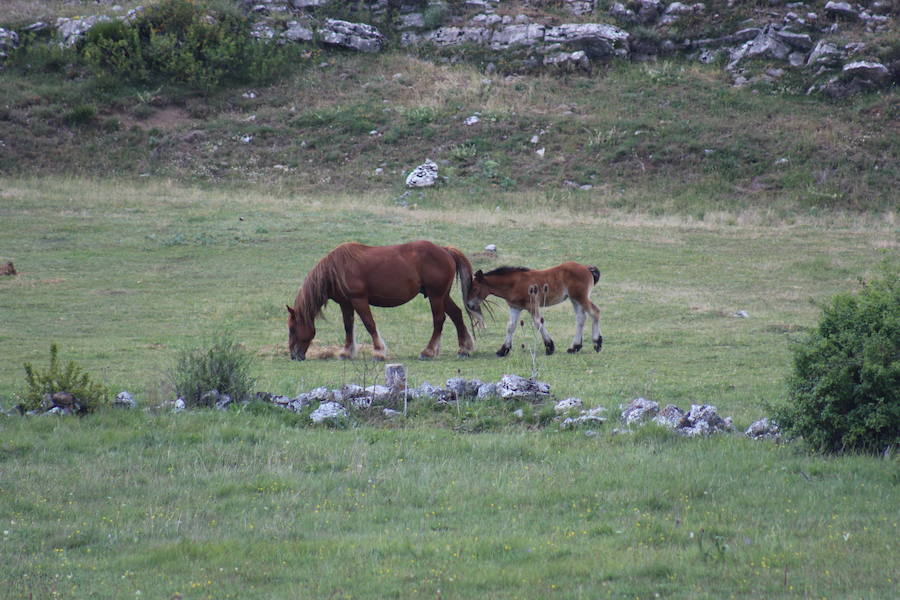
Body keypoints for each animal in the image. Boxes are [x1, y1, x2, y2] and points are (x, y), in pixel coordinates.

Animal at [288, 240, 486, 360]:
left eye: (292, 328)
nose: (294, 355)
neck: (337, 269)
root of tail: (445, 250)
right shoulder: (346, 303)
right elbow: (348, 327)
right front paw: (346, 352)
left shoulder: (359, 300)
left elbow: (369, 324)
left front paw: (378, 352)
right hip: (442, 295)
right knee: (456, 315)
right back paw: (464, 348)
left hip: (436, 295)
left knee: (439, 319)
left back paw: (428, 351)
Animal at [464, 262, 604, 356]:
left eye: (475, 289)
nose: (469, 305)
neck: (514, 284)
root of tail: (586, 268)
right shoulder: (514, 307)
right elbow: (510, 326)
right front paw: (503, 350)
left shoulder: (532, 305)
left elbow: (538, 323)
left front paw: (549, 347)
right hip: (574, 299)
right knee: (581, 318)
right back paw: (574, 347)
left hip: (580, 297)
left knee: (595, 312)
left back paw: (597, 343)